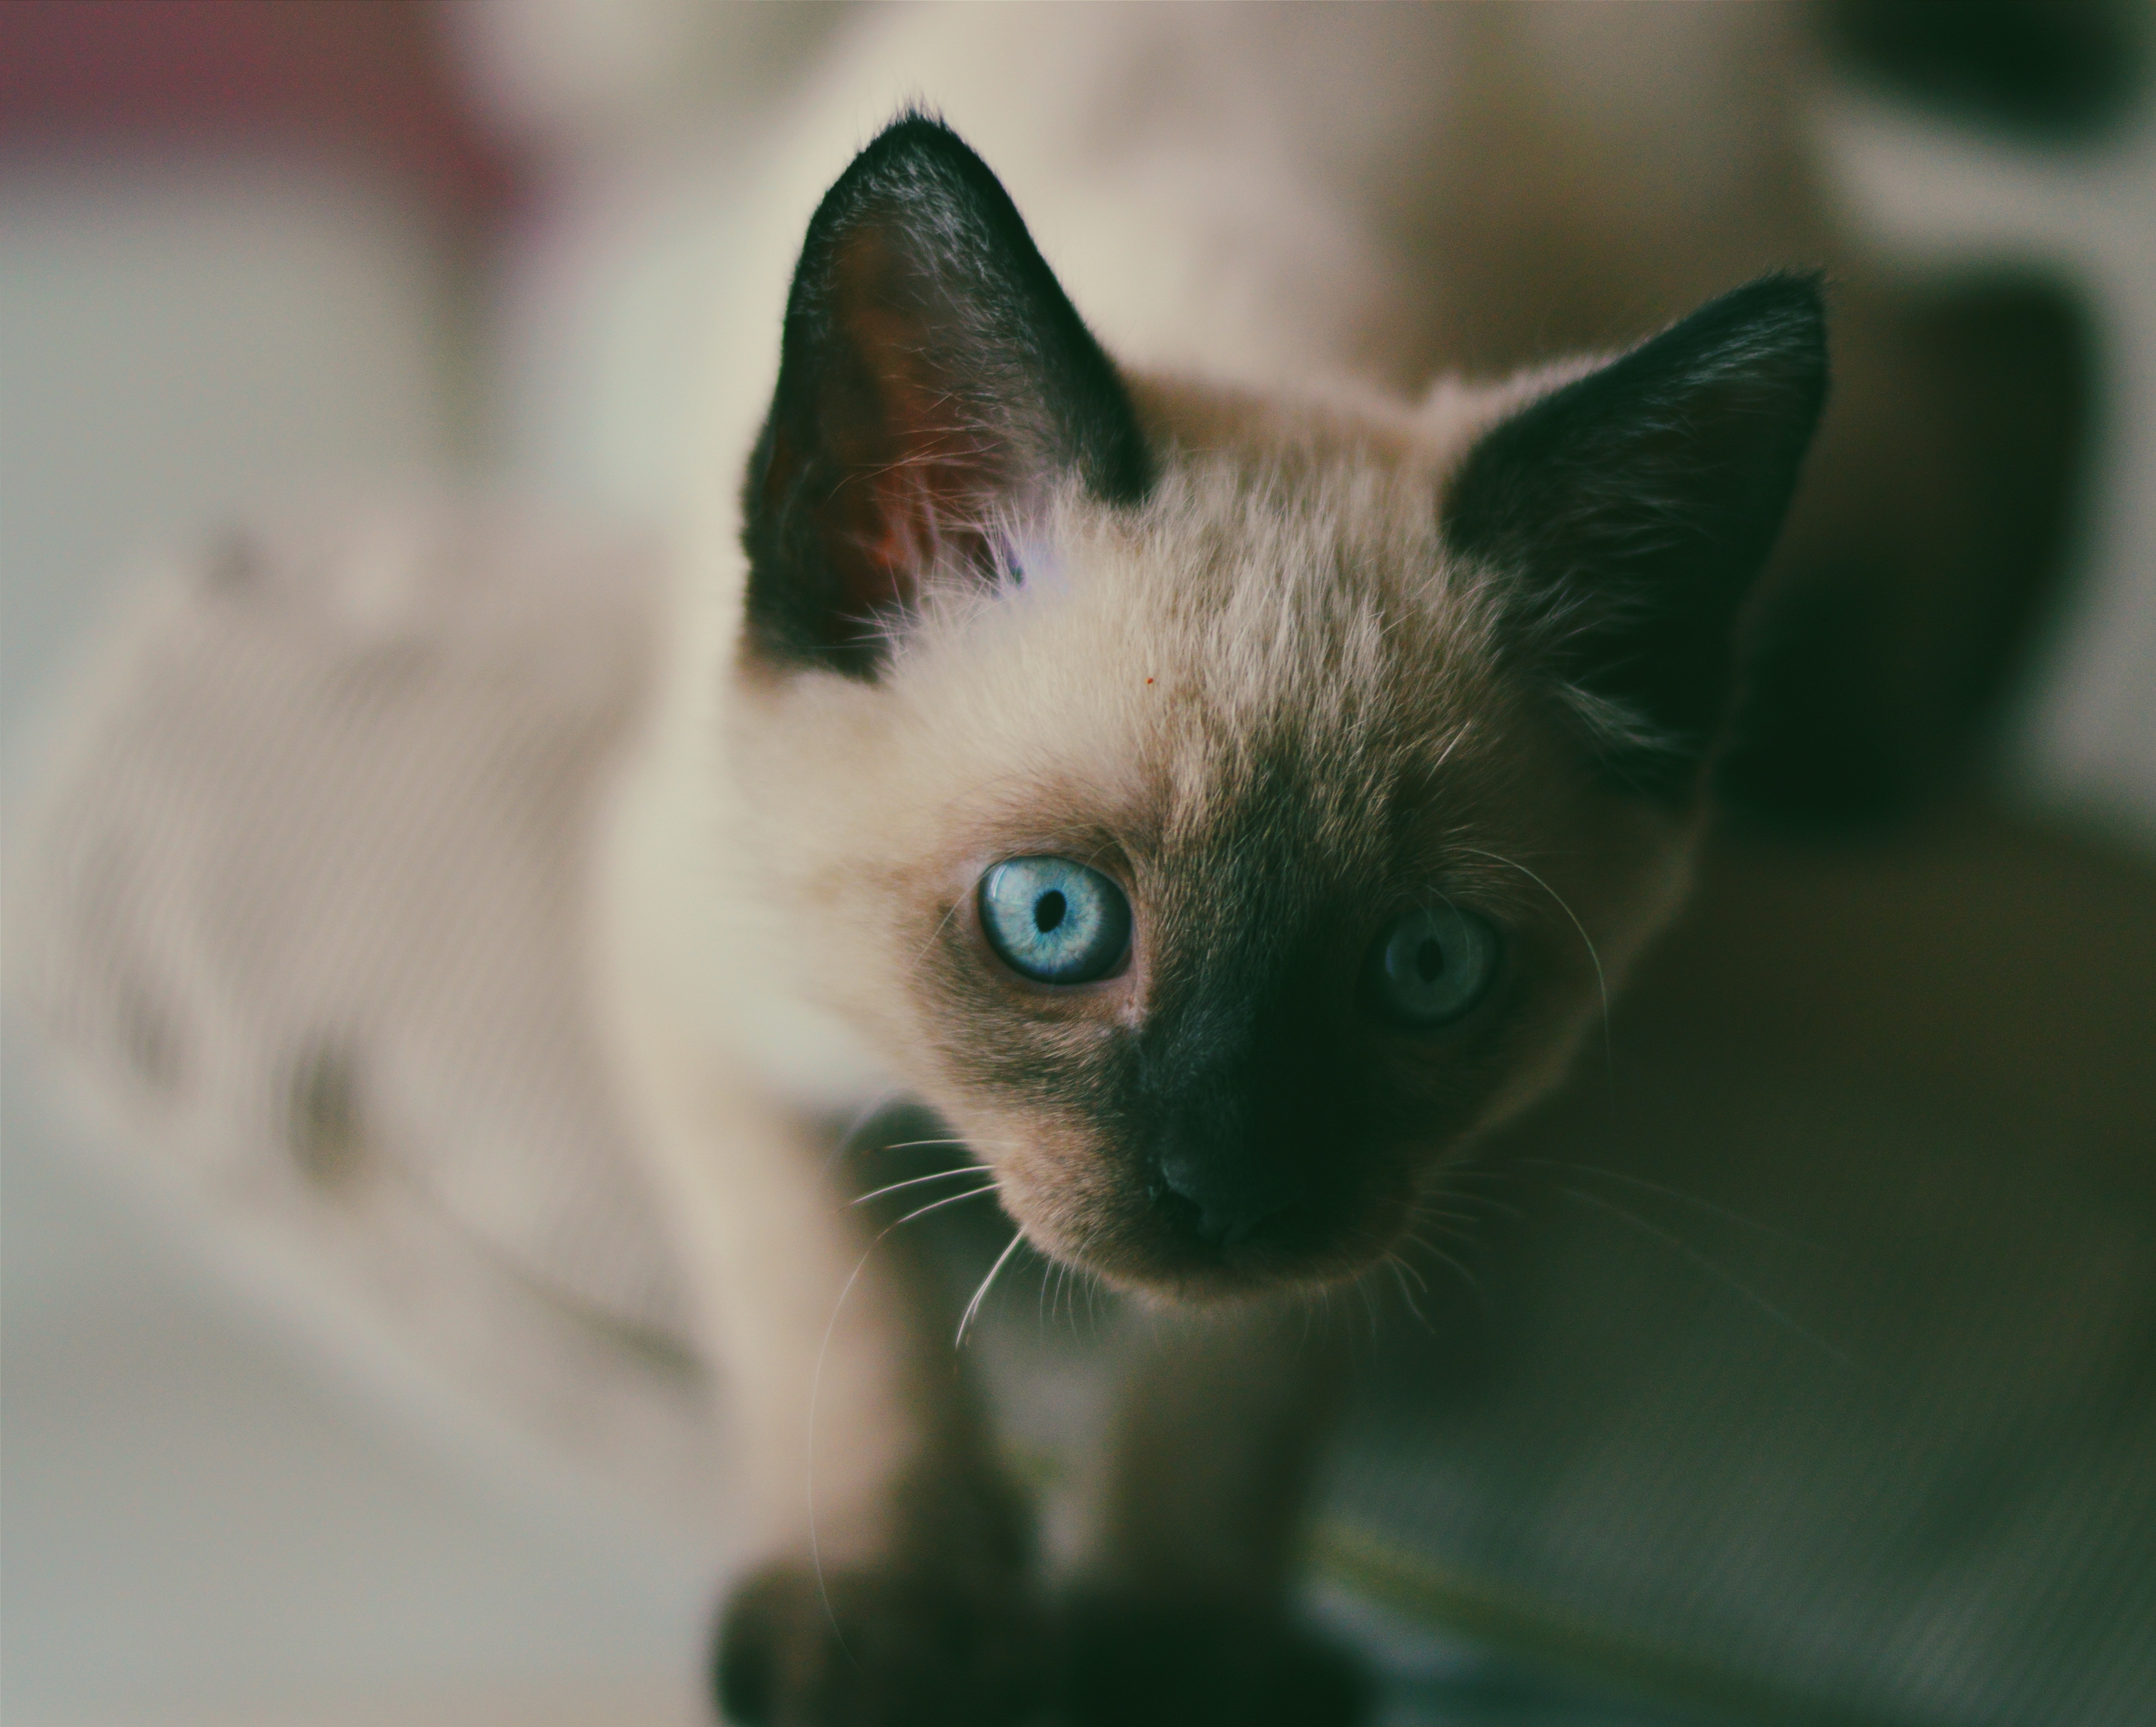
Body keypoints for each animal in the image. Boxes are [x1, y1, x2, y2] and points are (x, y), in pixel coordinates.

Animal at [599, 108, 1828, 1725]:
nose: (1228, 1187)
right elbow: (833, 1310)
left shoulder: (1368, 1198)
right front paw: (891, 1635)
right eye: (1052, 918)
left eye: (1426, 969)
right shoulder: (689, 985)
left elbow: (1241, 1373)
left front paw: (1167, 1648)